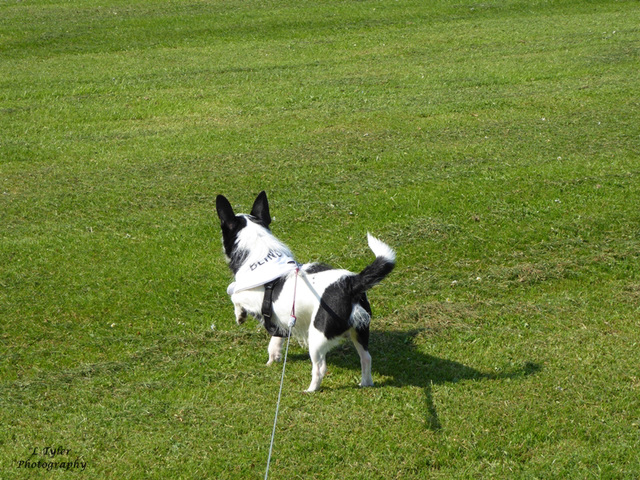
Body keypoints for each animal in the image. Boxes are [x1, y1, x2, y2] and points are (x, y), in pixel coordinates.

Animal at [216, 191, 396, 390]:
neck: (261, 254)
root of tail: (350, 283)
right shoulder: (281, 320)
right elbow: (276, 337)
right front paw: (273, 356)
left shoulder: (251, 296)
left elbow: (234, 294)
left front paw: (239, 315)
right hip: (360, 330)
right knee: (366, 358)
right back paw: (365, 383)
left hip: (317, 337)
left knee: (320, 368)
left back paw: (311, 389)